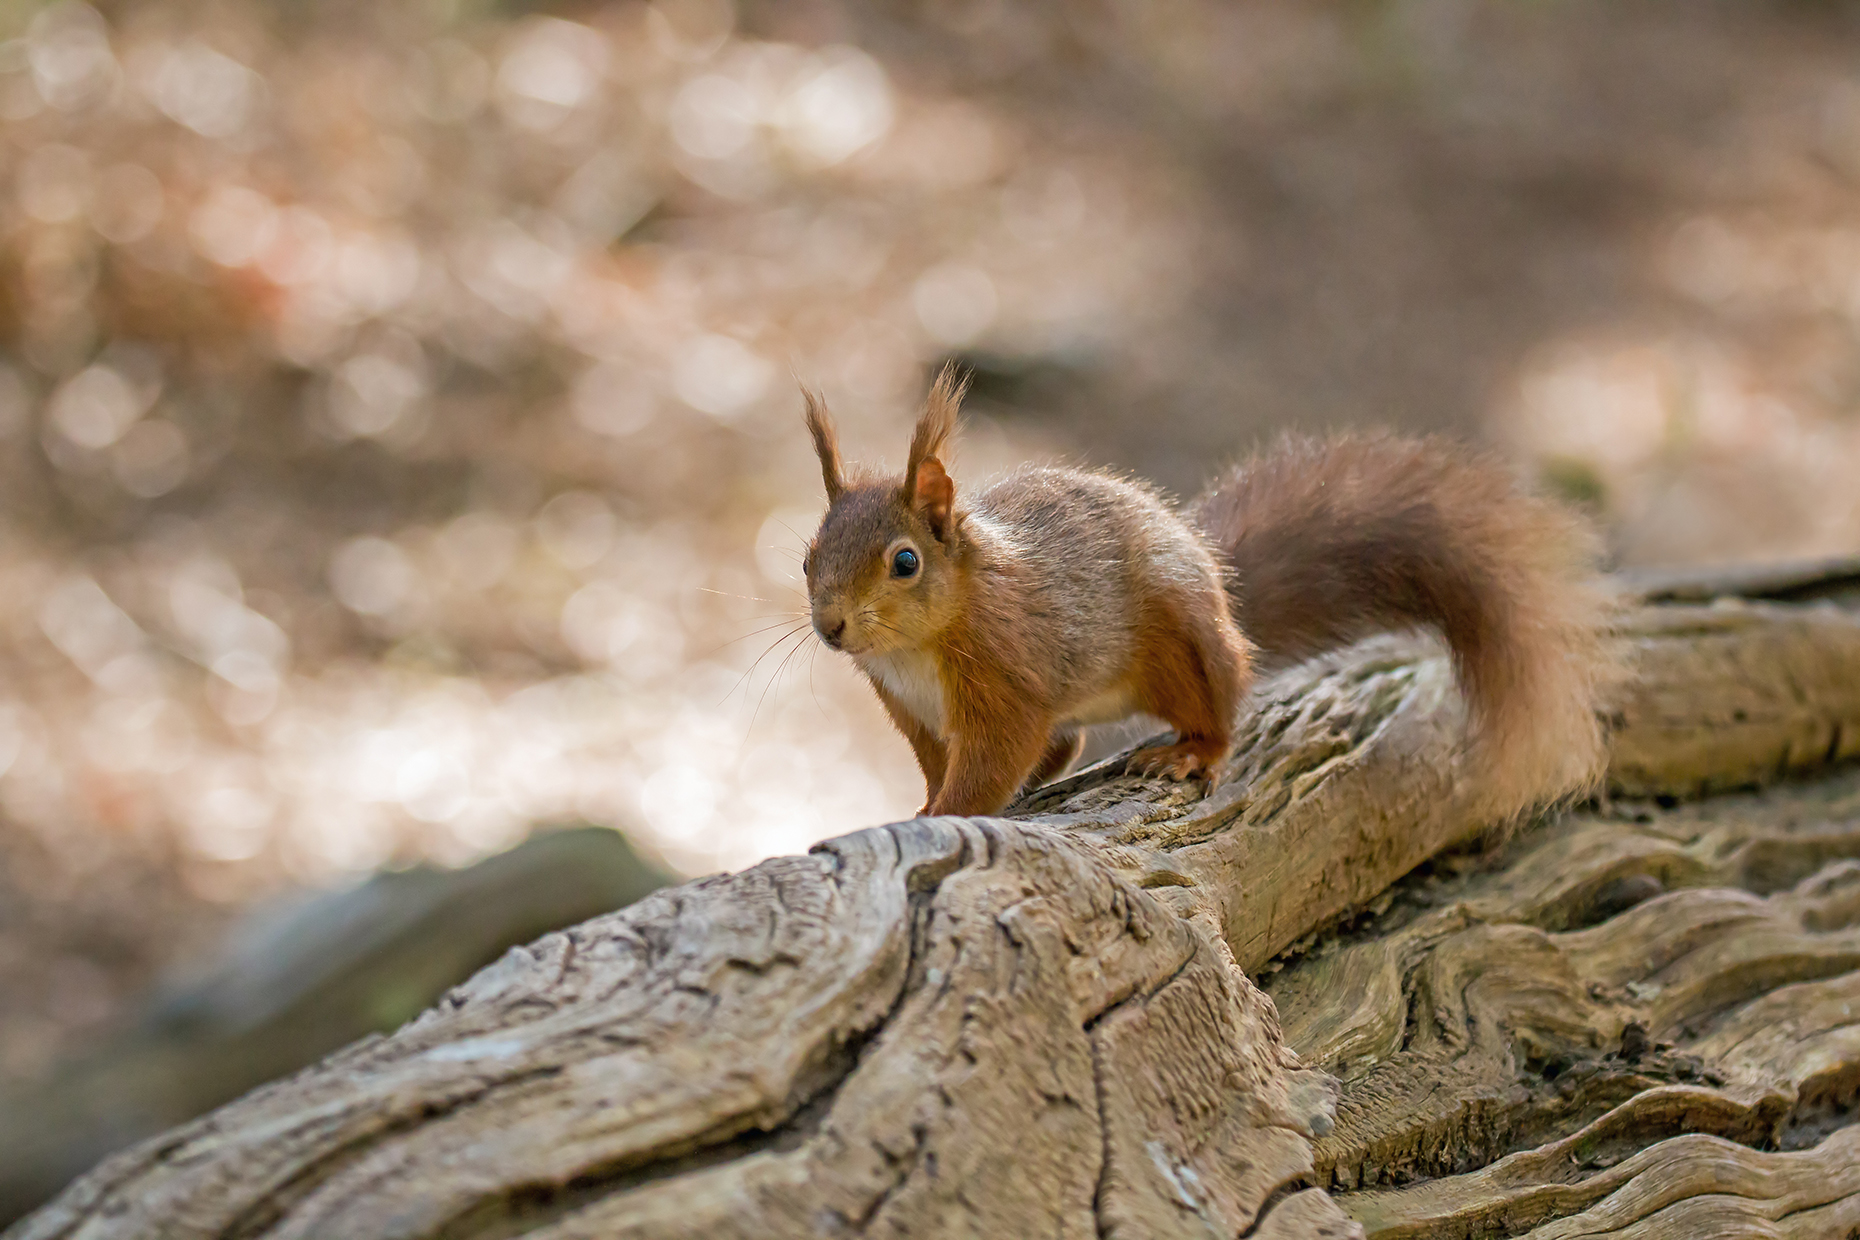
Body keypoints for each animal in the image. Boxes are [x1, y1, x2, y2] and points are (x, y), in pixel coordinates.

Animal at [799, 368, 1614, 825]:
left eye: (905, 561)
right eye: (807, 556)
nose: (832, 627)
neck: (915, 649)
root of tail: (1220, 585)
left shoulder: (1010, 678)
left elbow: (992, 764)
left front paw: (941, 817)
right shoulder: (913, 713)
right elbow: (943, 764)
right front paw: (922, 805)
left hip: (1183, 648)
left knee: (1220, 713)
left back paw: (1190, 754)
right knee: (1067, 744)